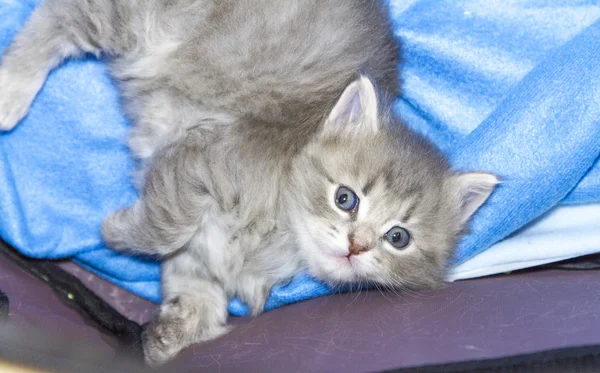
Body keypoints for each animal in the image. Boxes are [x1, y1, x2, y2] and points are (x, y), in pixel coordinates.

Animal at [0, 0, 496, 366]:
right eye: (345, 198)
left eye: (398, 238)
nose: (356, 245)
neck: (282, 238)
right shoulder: (198, 157)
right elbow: (165, 229)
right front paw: (114, 231)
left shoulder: (202, 244)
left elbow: (195, 283)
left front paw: (172, 333)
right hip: (144, 25)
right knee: (60, 16)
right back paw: (11, 90)